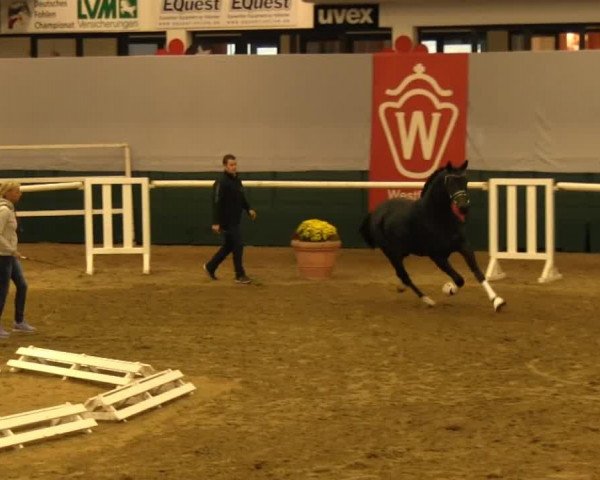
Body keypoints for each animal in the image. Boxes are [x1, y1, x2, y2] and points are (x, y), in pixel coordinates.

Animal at [360, 161, 506, 312]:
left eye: (465, 180)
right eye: (450, 182)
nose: (463, 207)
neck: (436, 216)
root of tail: (376, 213)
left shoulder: (464, 246)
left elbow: (477, 272)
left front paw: (497, 301)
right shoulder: (437, 256)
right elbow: (459, 279)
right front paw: (449, 289)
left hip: (402, 252)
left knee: (401, 275)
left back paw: (402, 287)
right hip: (391, 254)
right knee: (404, 276)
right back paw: (428, 300)